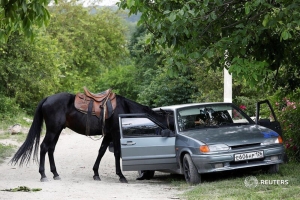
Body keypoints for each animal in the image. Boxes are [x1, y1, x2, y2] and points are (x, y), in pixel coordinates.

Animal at [9, 91, 173, 183]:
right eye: (170, 123)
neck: (124, 109)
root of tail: (48, 98)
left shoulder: (108, 135)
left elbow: (101, 152)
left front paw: (95, 173)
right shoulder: (115, 133)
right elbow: (117, 153)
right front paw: (121, 176)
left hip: (57, 130)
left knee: (51, 149)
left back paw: (55, 173)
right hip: (53, 130)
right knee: (44, 147)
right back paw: (43, 175)